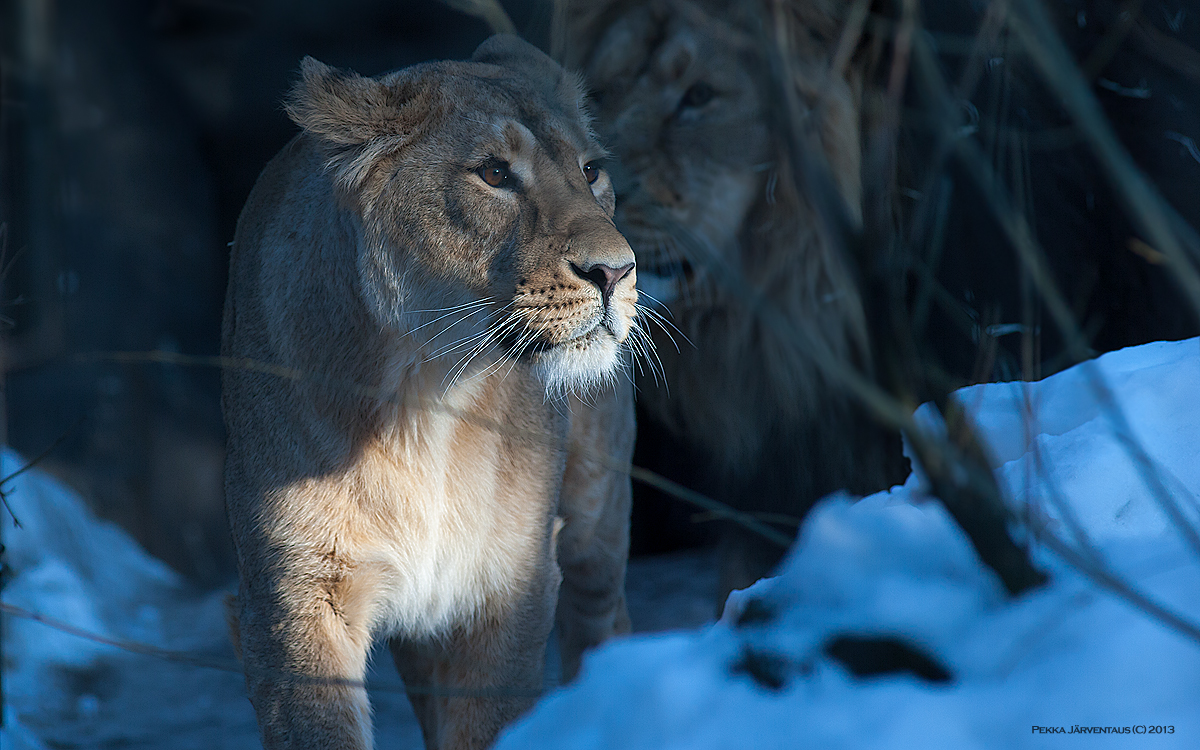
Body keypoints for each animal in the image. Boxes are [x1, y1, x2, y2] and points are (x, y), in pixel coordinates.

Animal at [222, 35, 643, 748]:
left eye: (591, 172)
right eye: (494, 174)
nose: (616, 271)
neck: (426, 392)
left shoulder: (509, 588)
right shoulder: (296, 597)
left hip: (595, 511)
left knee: (603, 618)